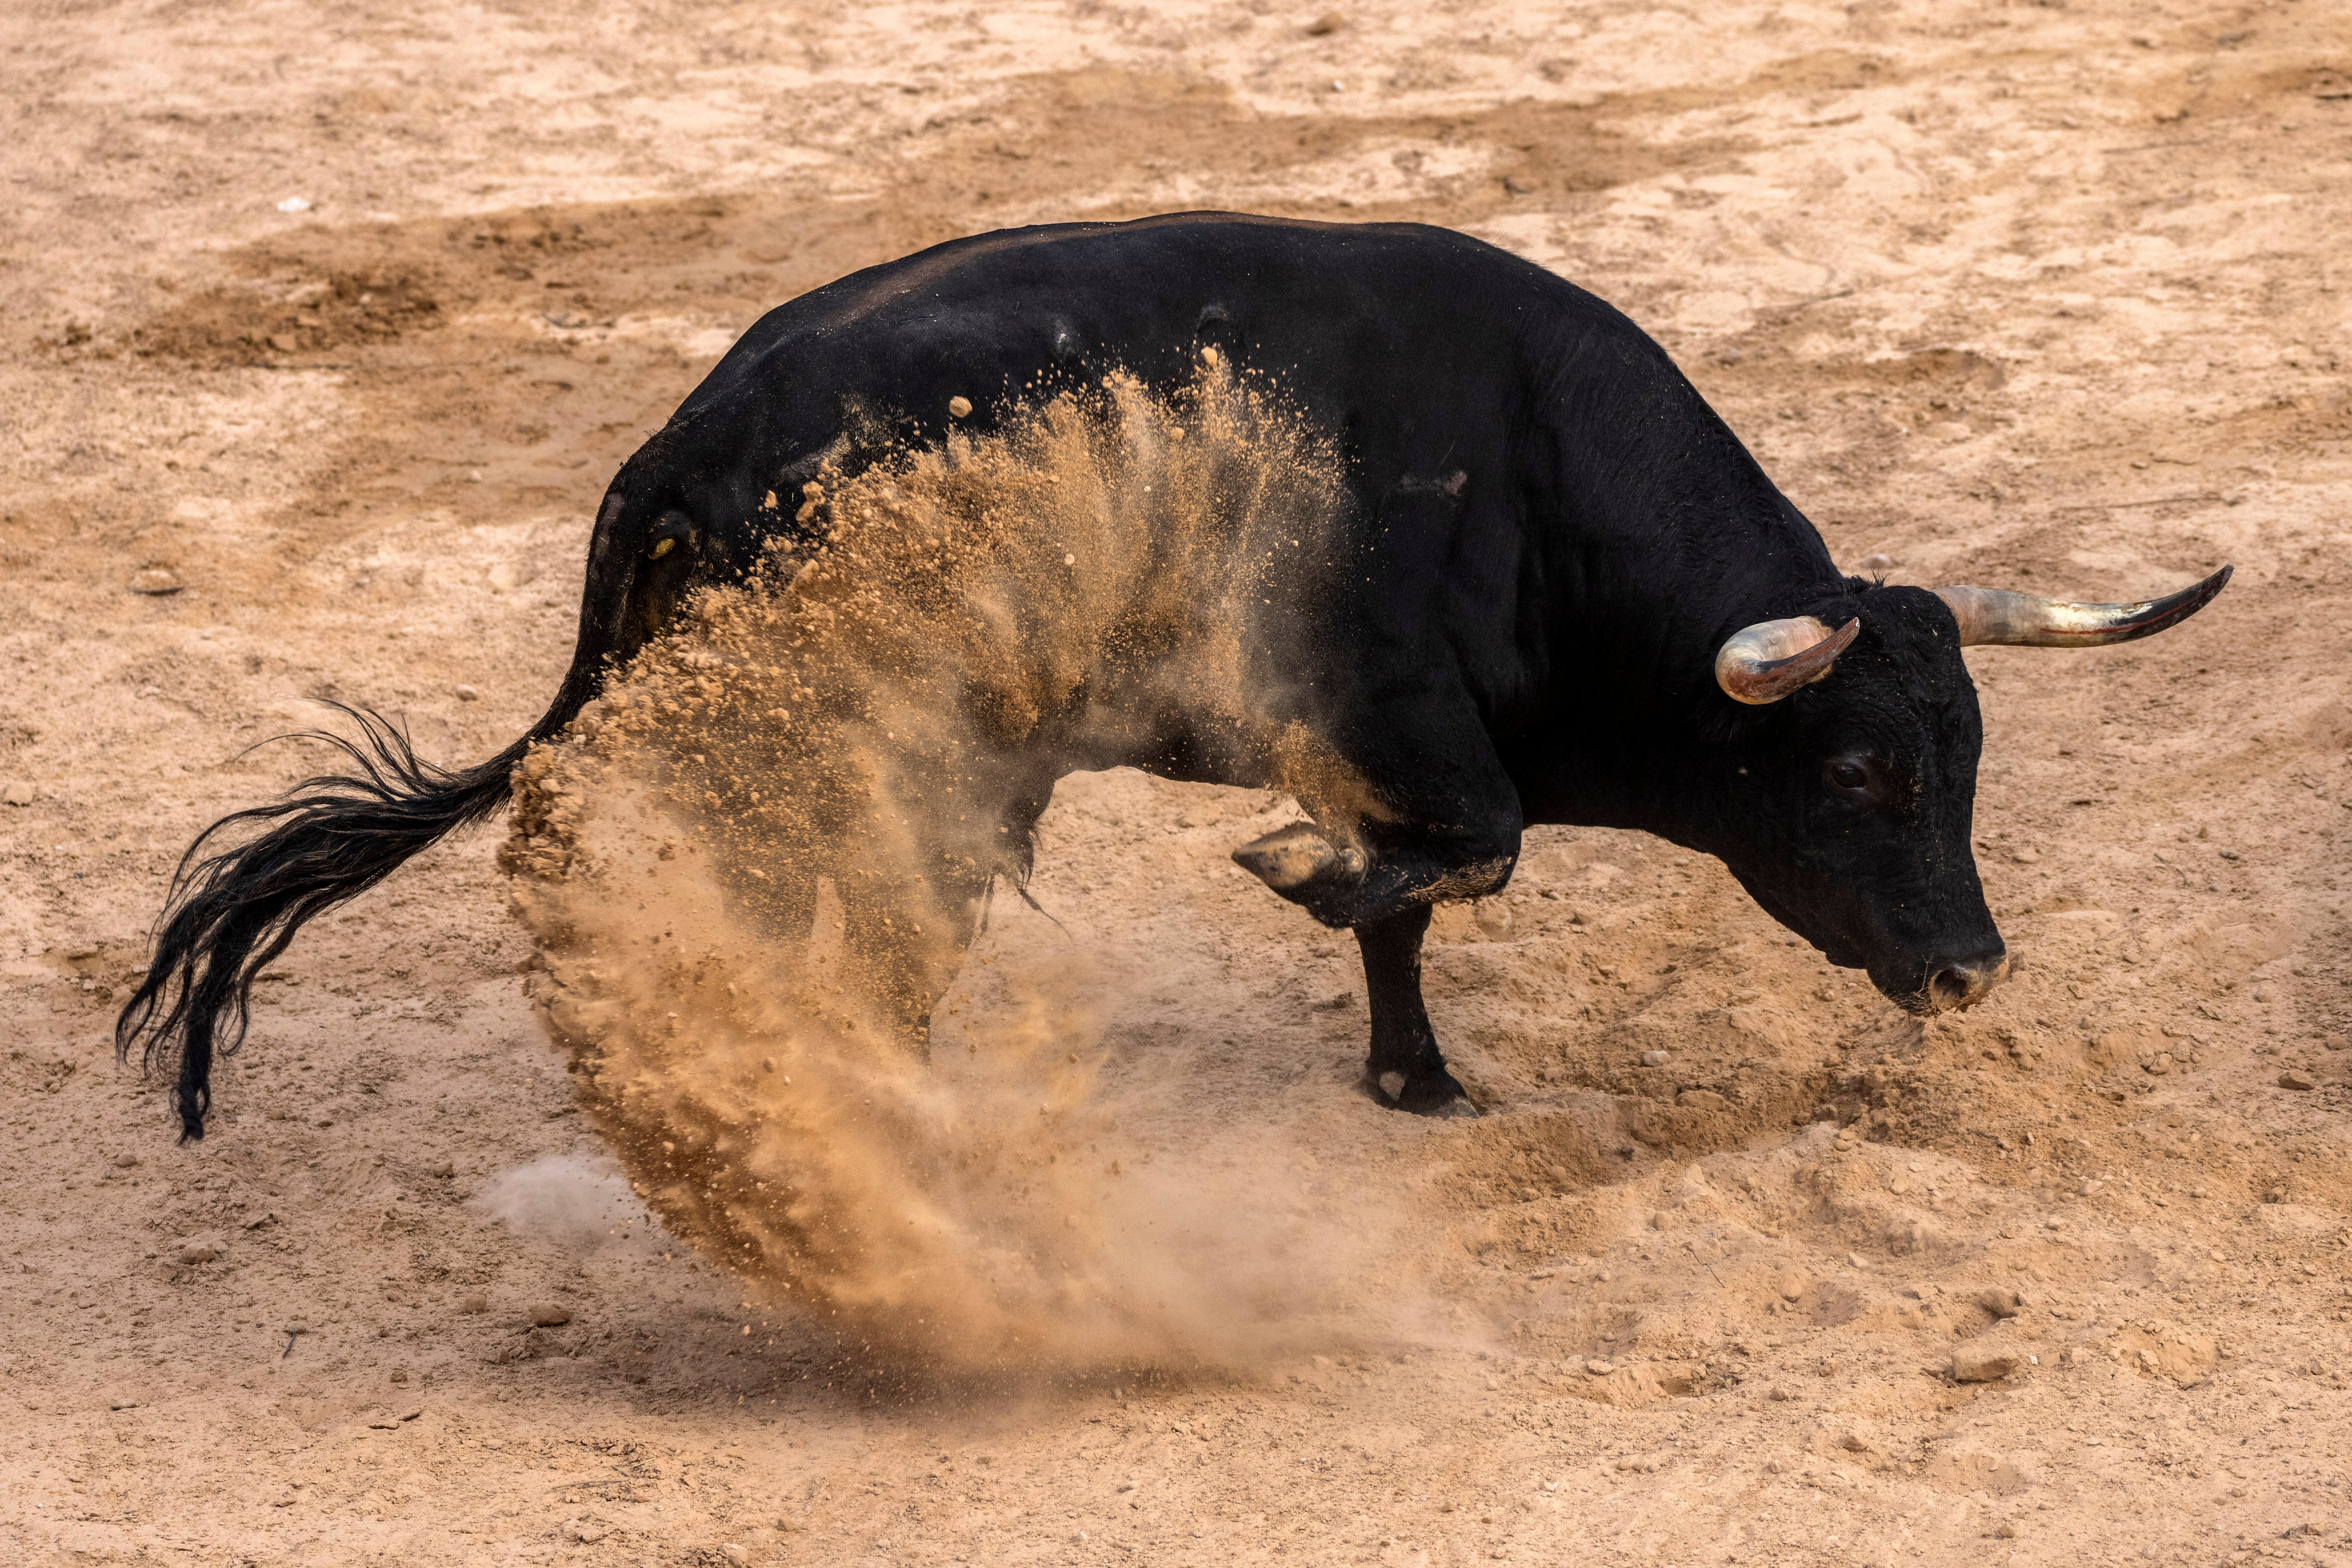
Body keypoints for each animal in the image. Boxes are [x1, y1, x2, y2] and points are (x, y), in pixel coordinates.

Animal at [119, 211, 2228, 1140]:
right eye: (1868, 773)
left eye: (1972, 761)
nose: (1971, 969)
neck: (1529, 482)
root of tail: (677, 448)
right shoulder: (1403, 731)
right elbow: (1459, 855)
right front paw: (1293, 881)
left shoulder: (1395, 753)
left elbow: (1423, 902)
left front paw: (1413, 1076)